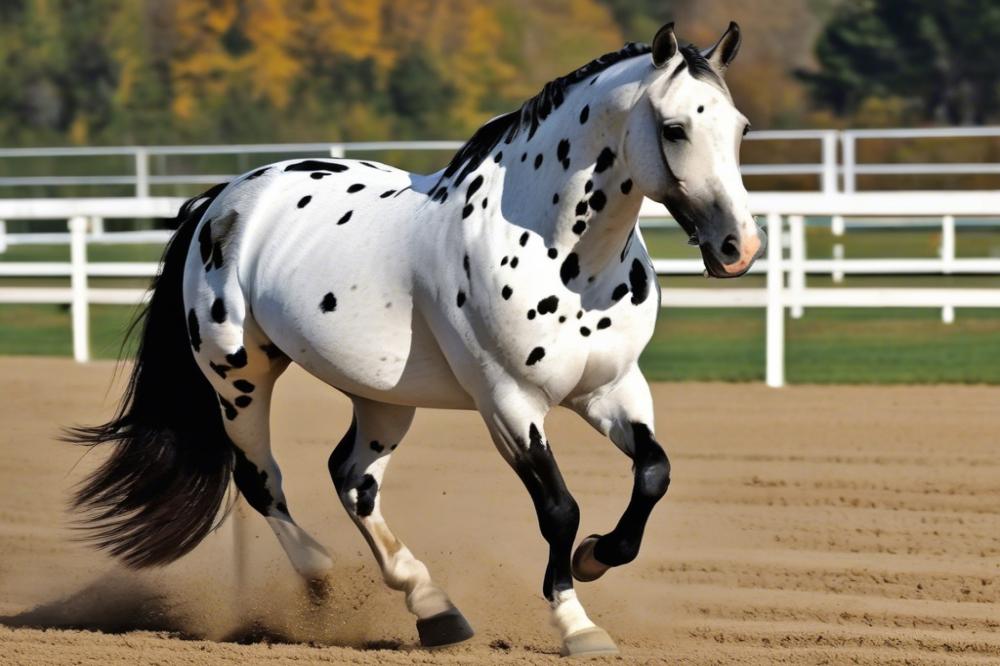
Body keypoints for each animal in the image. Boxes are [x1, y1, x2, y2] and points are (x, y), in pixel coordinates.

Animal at [70, 23, 764, 656]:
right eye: (674, 128)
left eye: (740, 129)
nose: (740, 247)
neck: (566, 258)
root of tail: (221, 200)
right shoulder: (507, 403)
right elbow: (559, 509)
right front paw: (577, 624)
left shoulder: (613, 389)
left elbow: (654, 473)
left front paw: (597, 556)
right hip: (238, 378)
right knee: (261, 479)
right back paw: (322, 580)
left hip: (383, 400)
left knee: (352, 479)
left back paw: (434, 607)